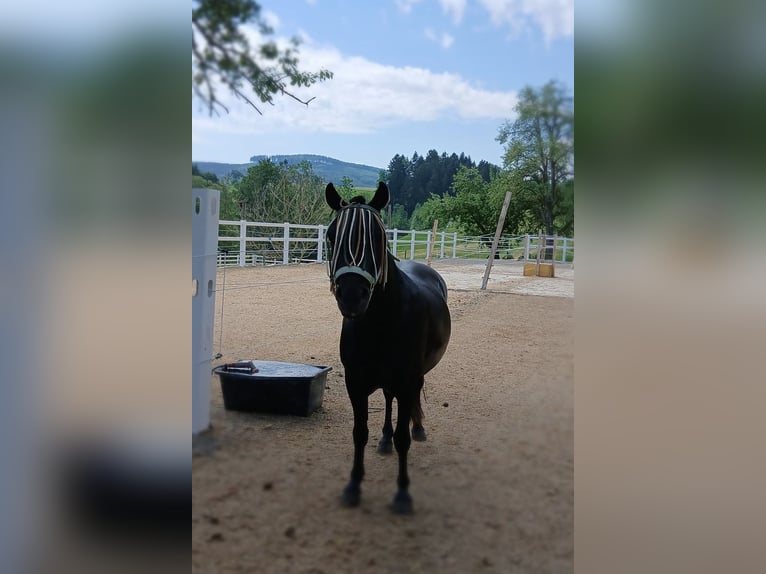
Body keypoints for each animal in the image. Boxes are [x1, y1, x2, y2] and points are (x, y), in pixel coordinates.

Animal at [324, 181, 451, 514]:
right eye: (331, 235)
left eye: (379, 238)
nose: (351, 296)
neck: (379, 323)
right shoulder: (355, 383)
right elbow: (359, 434)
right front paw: (353, 486)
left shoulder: (406, 380)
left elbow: (403, 437)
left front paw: (403, 494)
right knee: (388, 399)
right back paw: (384, 441)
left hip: (414, 377)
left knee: (409, 401)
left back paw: (417, 428)